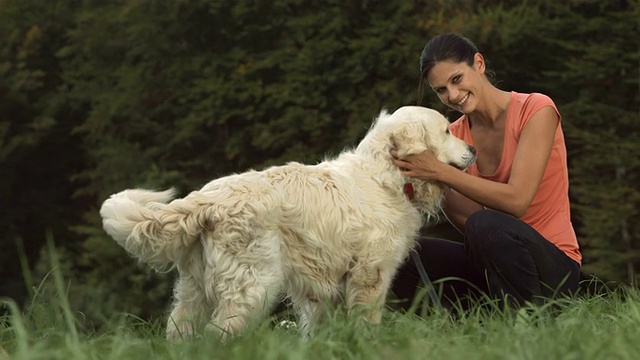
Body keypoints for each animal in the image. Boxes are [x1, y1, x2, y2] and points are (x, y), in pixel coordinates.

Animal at [97, 106, 472, 340]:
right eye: (445, 130)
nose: (472, 151)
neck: (384, 177)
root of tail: (207, 198)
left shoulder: (323, 287)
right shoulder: (370, 275)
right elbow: (367, 322)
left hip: (196, 286)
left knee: (181, 328)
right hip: (254, 283)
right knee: (219, 333)